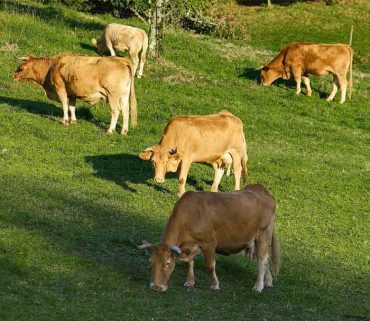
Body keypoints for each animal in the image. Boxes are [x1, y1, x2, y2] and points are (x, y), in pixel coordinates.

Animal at [139, 184, 280, 292]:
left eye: (167, 263)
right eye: (151, 262)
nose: (156, 287)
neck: (190, 215)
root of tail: (262, 191)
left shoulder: (209, 243)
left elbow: (210, 265)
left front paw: (214, 285)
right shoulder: (188, 246)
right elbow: (188, 264)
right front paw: (190, 282)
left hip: (263, 234)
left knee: (262, 260)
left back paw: (258, 286)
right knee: (264, 259)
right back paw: (268, 282)